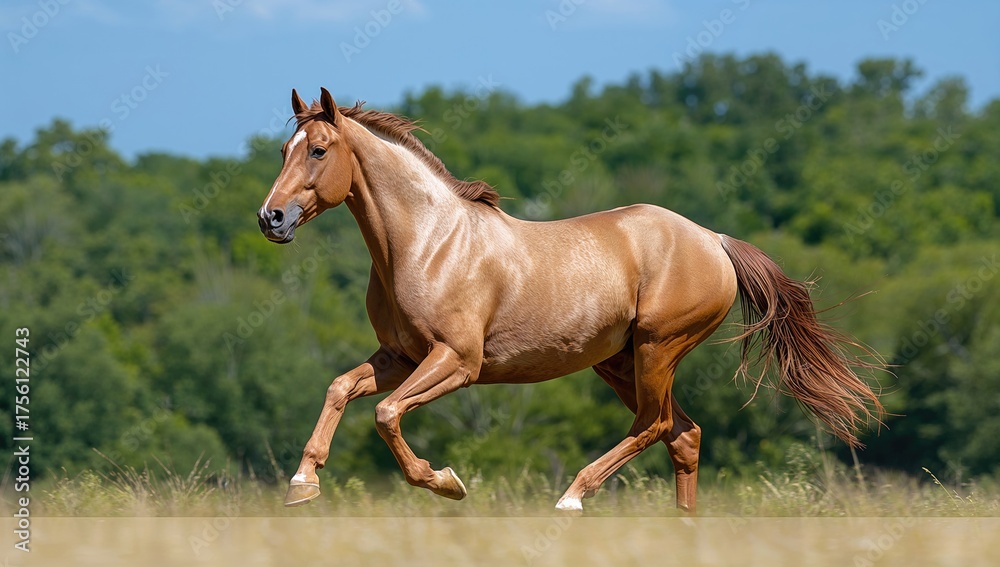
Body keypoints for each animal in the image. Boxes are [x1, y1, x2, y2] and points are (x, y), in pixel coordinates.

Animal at [257, 88, 884, 513]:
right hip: (620, 362)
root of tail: (715, 241)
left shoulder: (457, 362)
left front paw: (446, 483)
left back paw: (572, 497)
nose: (271, 218)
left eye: (318, 151)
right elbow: (340, 388)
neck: (428, 243)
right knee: (684, 436)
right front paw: (302, 484)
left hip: (656, 350)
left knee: (655, 425)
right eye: (283, 149)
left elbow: (387, 414)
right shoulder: (399, 357)